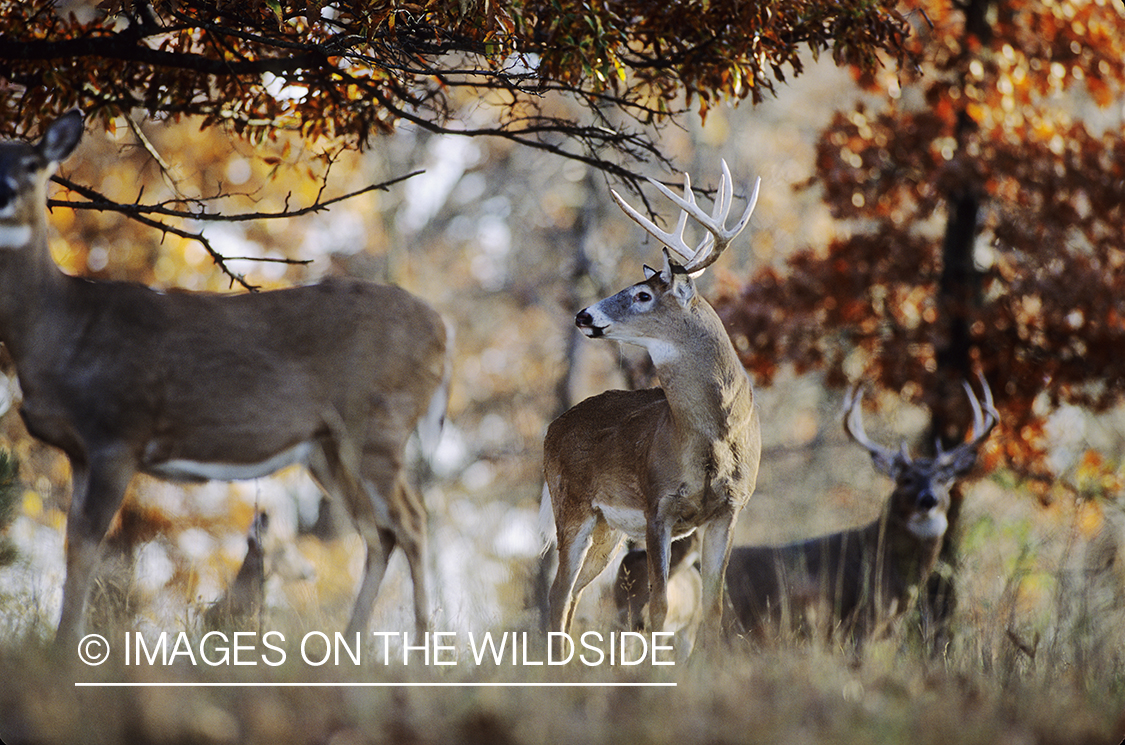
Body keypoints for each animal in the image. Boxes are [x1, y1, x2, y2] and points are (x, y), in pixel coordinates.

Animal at [4, 110, 452, 652]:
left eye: (32, 163)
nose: (5, 192)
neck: (61, 330)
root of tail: (442, 330)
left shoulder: (118, 432)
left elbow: (87, 546)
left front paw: (66, 651)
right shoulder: (80, 451)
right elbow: (74, 543)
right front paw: (61, 646)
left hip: (379, 423)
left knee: (412, 522)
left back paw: (425, 650)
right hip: (327, 448)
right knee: (378, 532)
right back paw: (351, 649)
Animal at [544, 163, 765, 652]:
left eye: (643, 295)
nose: (583, 316)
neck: (713, 437)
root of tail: (553, 427)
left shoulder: (729, 510)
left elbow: (712, 611)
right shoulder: (657, 505)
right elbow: (660, 608)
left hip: (608, 529)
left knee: (572, 596)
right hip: (572, 505)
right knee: (557, 593)